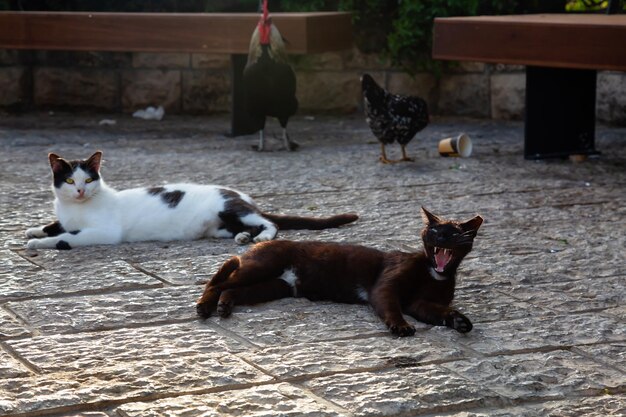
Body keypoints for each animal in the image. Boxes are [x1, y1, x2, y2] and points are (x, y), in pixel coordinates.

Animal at [25, 151, 356, 249]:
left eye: (89, 179)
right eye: (70, 181)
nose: (80, 191)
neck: (76, 208)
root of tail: (242, 195)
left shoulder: (104, 233)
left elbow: (66, 238)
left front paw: (39, 243)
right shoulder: (65, 216)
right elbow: (56, 225)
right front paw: (34, 230)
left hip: (232, 208)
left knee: (271, 223)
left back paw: (258, 236)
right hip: (221, 223)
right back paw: (243, 237)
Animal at [196, 206, 482, 336]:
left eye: (453, 233)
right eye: (433, 230)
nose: (441, 237)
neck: (434, 275)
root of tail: (262, 241)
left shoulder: (419, 303)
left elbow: (437, 311)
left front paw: (458, 320)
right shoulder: (385, 287)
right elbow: (390, 306)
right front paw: (401, 326)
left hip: (272, 286)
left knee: (232, 289)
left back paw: (224, 307)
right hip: (262, 267)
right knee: (217, 282)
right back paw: (204, 307)